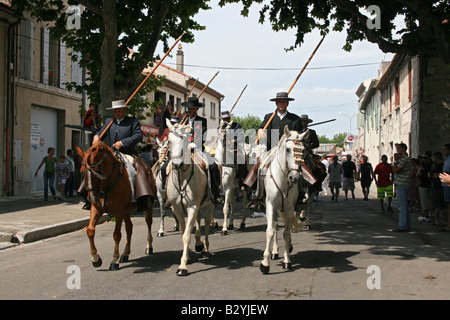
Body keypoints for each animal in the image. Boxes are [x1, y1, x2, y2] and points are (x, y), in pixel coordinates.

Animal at [76, 142, 154, 270]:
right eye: (82, 172)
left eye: (96, 172)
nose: (91, 198)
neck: (107, 184)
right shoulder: (97, 209)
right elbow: (90, 230)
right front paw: (95, 259)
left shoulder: (118, 212)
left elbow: (116, 235)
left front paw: (114, 260)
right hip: (126, 210)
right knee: (129, 227)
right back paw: (125, 253)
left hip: (148, 204)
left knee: (148, 222)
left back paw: (149, 247)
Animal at [165, 119, 216, 276]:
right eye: (169, 140)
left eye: (187, 139)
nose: (177, 164)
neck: (182, 177)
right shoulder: (177, 208)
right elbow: (183, 231)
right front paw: (187, 258)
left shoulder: (192, 206)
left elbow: (187, 234)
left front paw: (182, 266)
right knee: (198, 221)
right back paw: (199, 244)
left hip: (209, 204)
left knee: (206, 223)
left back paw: (205, 248)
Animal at [258, 126, 308, 274]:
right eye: (288, 149)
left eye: (302, 150)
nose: (294, 177)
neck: (283, 180)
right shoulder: (270, 205)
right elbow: (270, 231)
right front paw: (265, 263)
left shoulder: (290, 208)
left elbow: (286, 233)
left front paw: (287, 260)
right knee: (274, 226)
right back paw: (274, 252)